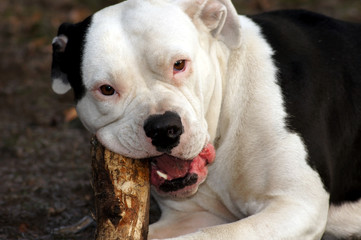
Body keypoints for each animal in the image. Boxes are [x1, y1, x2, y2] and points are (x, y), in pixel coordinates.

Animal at [50, 0, 360, 238]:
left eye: (179, 64)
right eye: (106, 89)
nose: (163, 128)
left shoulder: (297, 206)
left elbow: (216, 234)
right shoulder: (192, 216)